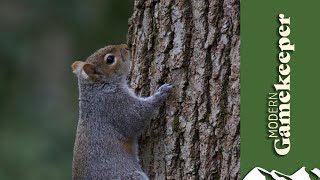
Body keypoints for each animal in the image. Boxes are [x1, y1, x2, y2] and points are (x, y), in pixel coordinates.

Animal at [71, 44, 174, 180]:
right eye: (110, 59)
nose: (126, 47)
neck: (98, 88)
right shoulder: (115, 104)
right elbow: (136, 117)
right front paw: (160, 93)